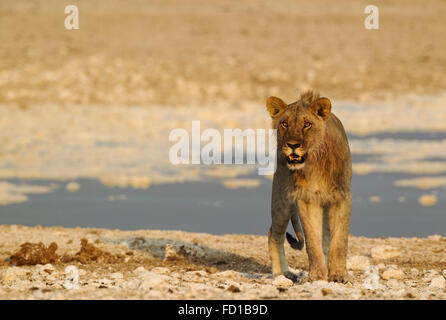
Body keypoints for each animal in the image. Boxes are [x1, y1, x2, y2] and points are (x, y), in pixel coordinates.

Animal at [264, 90, 352, 282]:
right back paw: (281, 274)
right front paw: (317, 275)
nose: (293, 145)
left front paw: (338, 275)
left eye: (307, 124)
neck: (314, 164)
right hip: (281, 200)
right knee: (274, 234)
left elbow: (339, 241)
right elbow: (312, 241)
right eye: (284, 124)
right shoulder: (305, 198)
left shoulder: (341, 197)